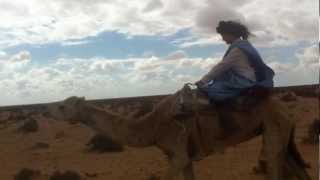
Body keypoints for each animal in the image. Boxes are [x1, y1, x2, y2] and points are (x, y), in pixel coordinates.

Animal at [44, 84, 310, 180]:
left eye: (63, 106)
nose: (47, 109)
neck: (152, 126)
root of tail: (284, 108)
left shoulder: (178, 152)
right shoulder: (183, 156)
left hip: (273, 126)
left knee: (273, 161)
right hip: (280, 131)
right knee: (292, 163)